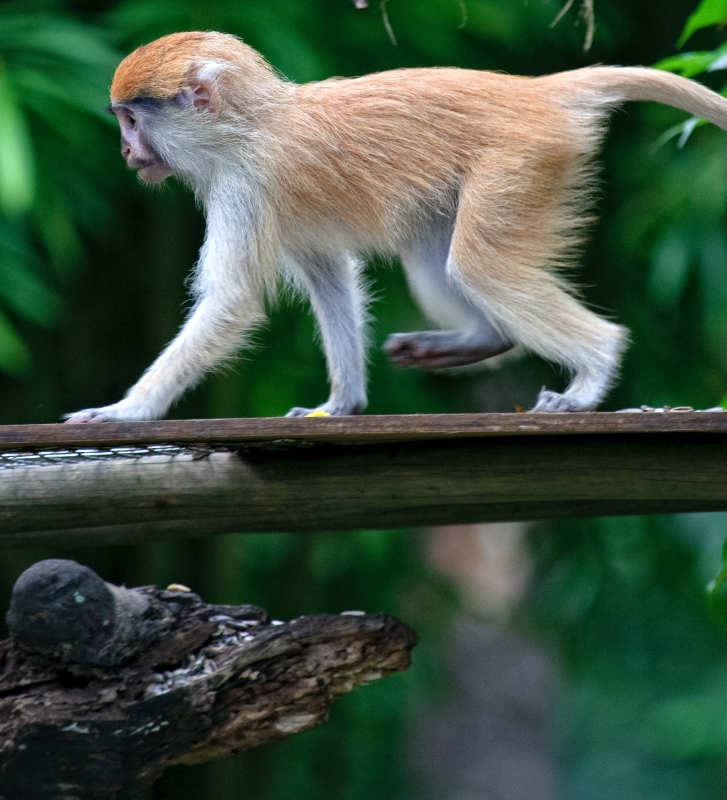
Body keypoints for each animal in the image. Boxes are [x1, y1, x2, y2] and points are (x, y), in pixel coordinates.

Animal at [65, 31, 727, 422]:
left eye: (131, 120)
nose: (126, 152)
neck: (251, 120)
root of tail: (537, 93)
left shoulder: (246, 186)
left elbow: (231, 300)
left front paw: (127, 411)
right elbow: (328, 277)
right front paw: (340, 403)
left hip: (520, 162)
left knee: (480, 266)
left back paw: (591, 375)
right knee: (436, 258)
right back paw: (481, 340)